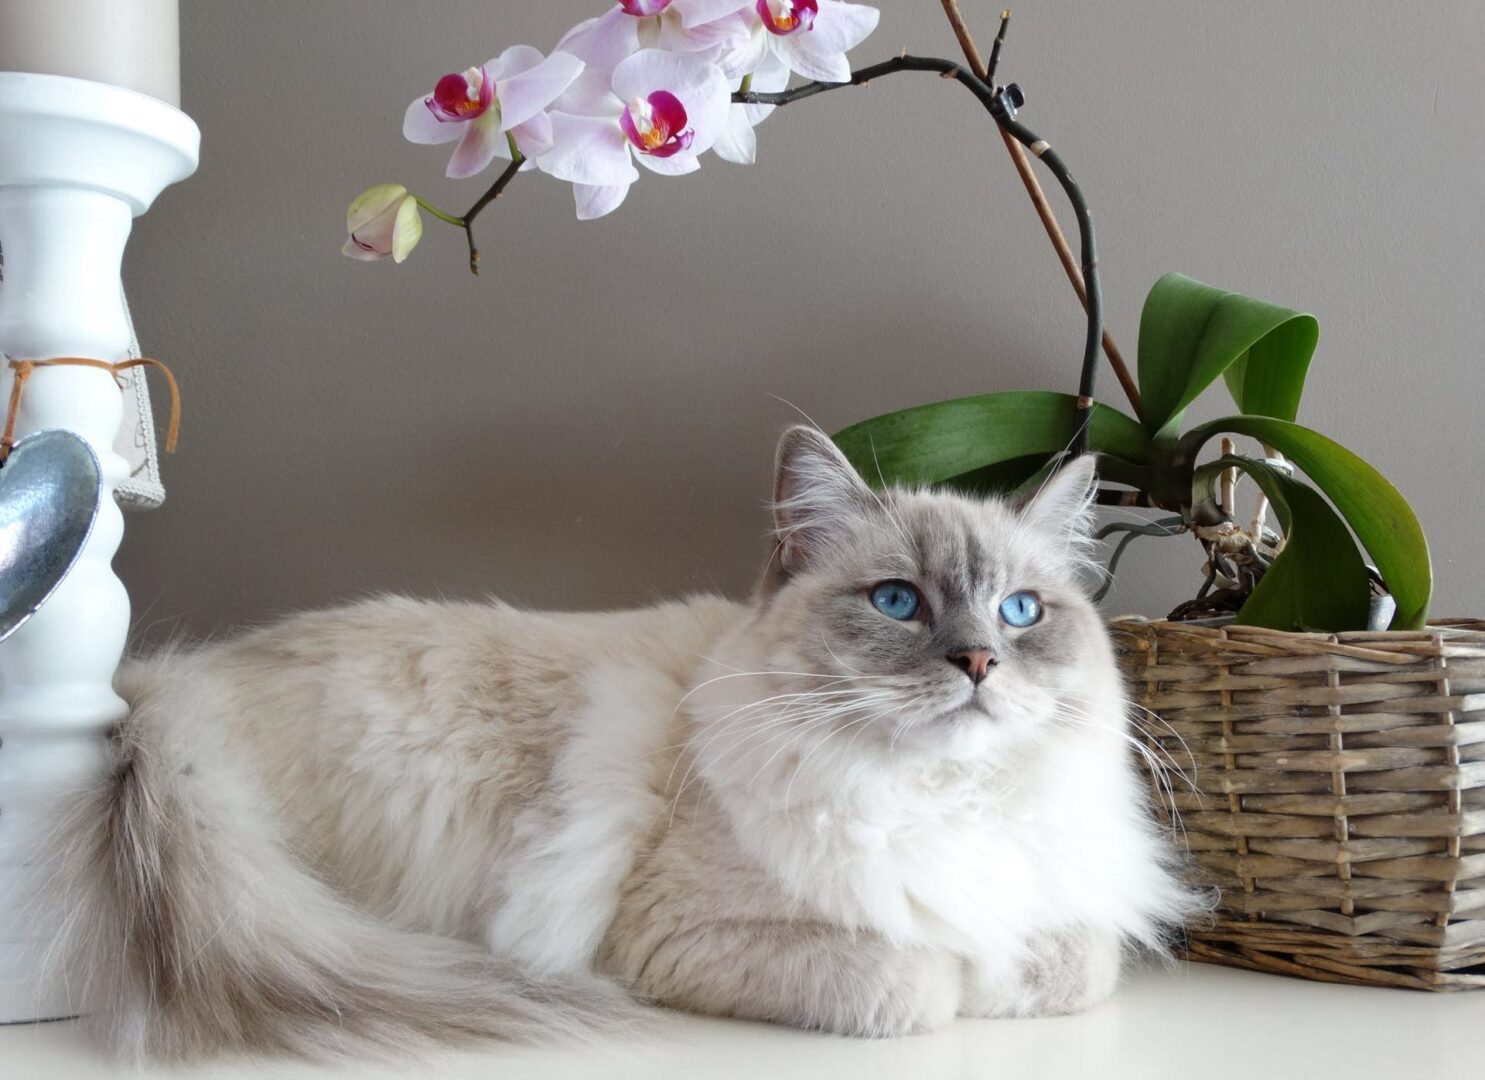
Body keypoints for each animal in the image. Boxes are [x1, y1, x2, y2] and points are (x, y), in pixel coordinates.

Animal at [37, 427, 1193, 1057]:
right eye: (899, 602)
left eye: (1020, 613)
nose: (979, 663)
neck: (936, 801)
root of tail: (172, 684)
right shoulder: (673, 936)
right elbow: (921, 980)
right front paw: (961, 980)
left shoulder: (1061, 921)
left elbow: (1067, 962)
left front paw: (1004, 976)